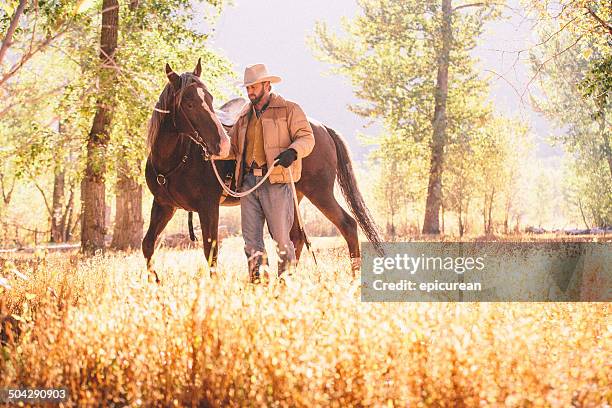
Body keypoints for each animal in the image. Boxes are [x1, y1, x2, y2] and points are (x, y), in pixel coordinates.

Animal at [143, 60, 382, 282]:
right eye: (189, 103)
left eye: (209, 99)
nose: (223, 145)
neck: (174, 160)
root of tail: (321, 128)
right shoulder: (164, 206)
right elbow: (148, 244)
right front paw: (155, 282)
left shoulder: (208, 206)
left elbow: (211, 252)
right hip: (296, 195)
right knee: (295, 237)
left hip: (320, 193)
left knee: (347, 225)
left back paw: (353, 277)